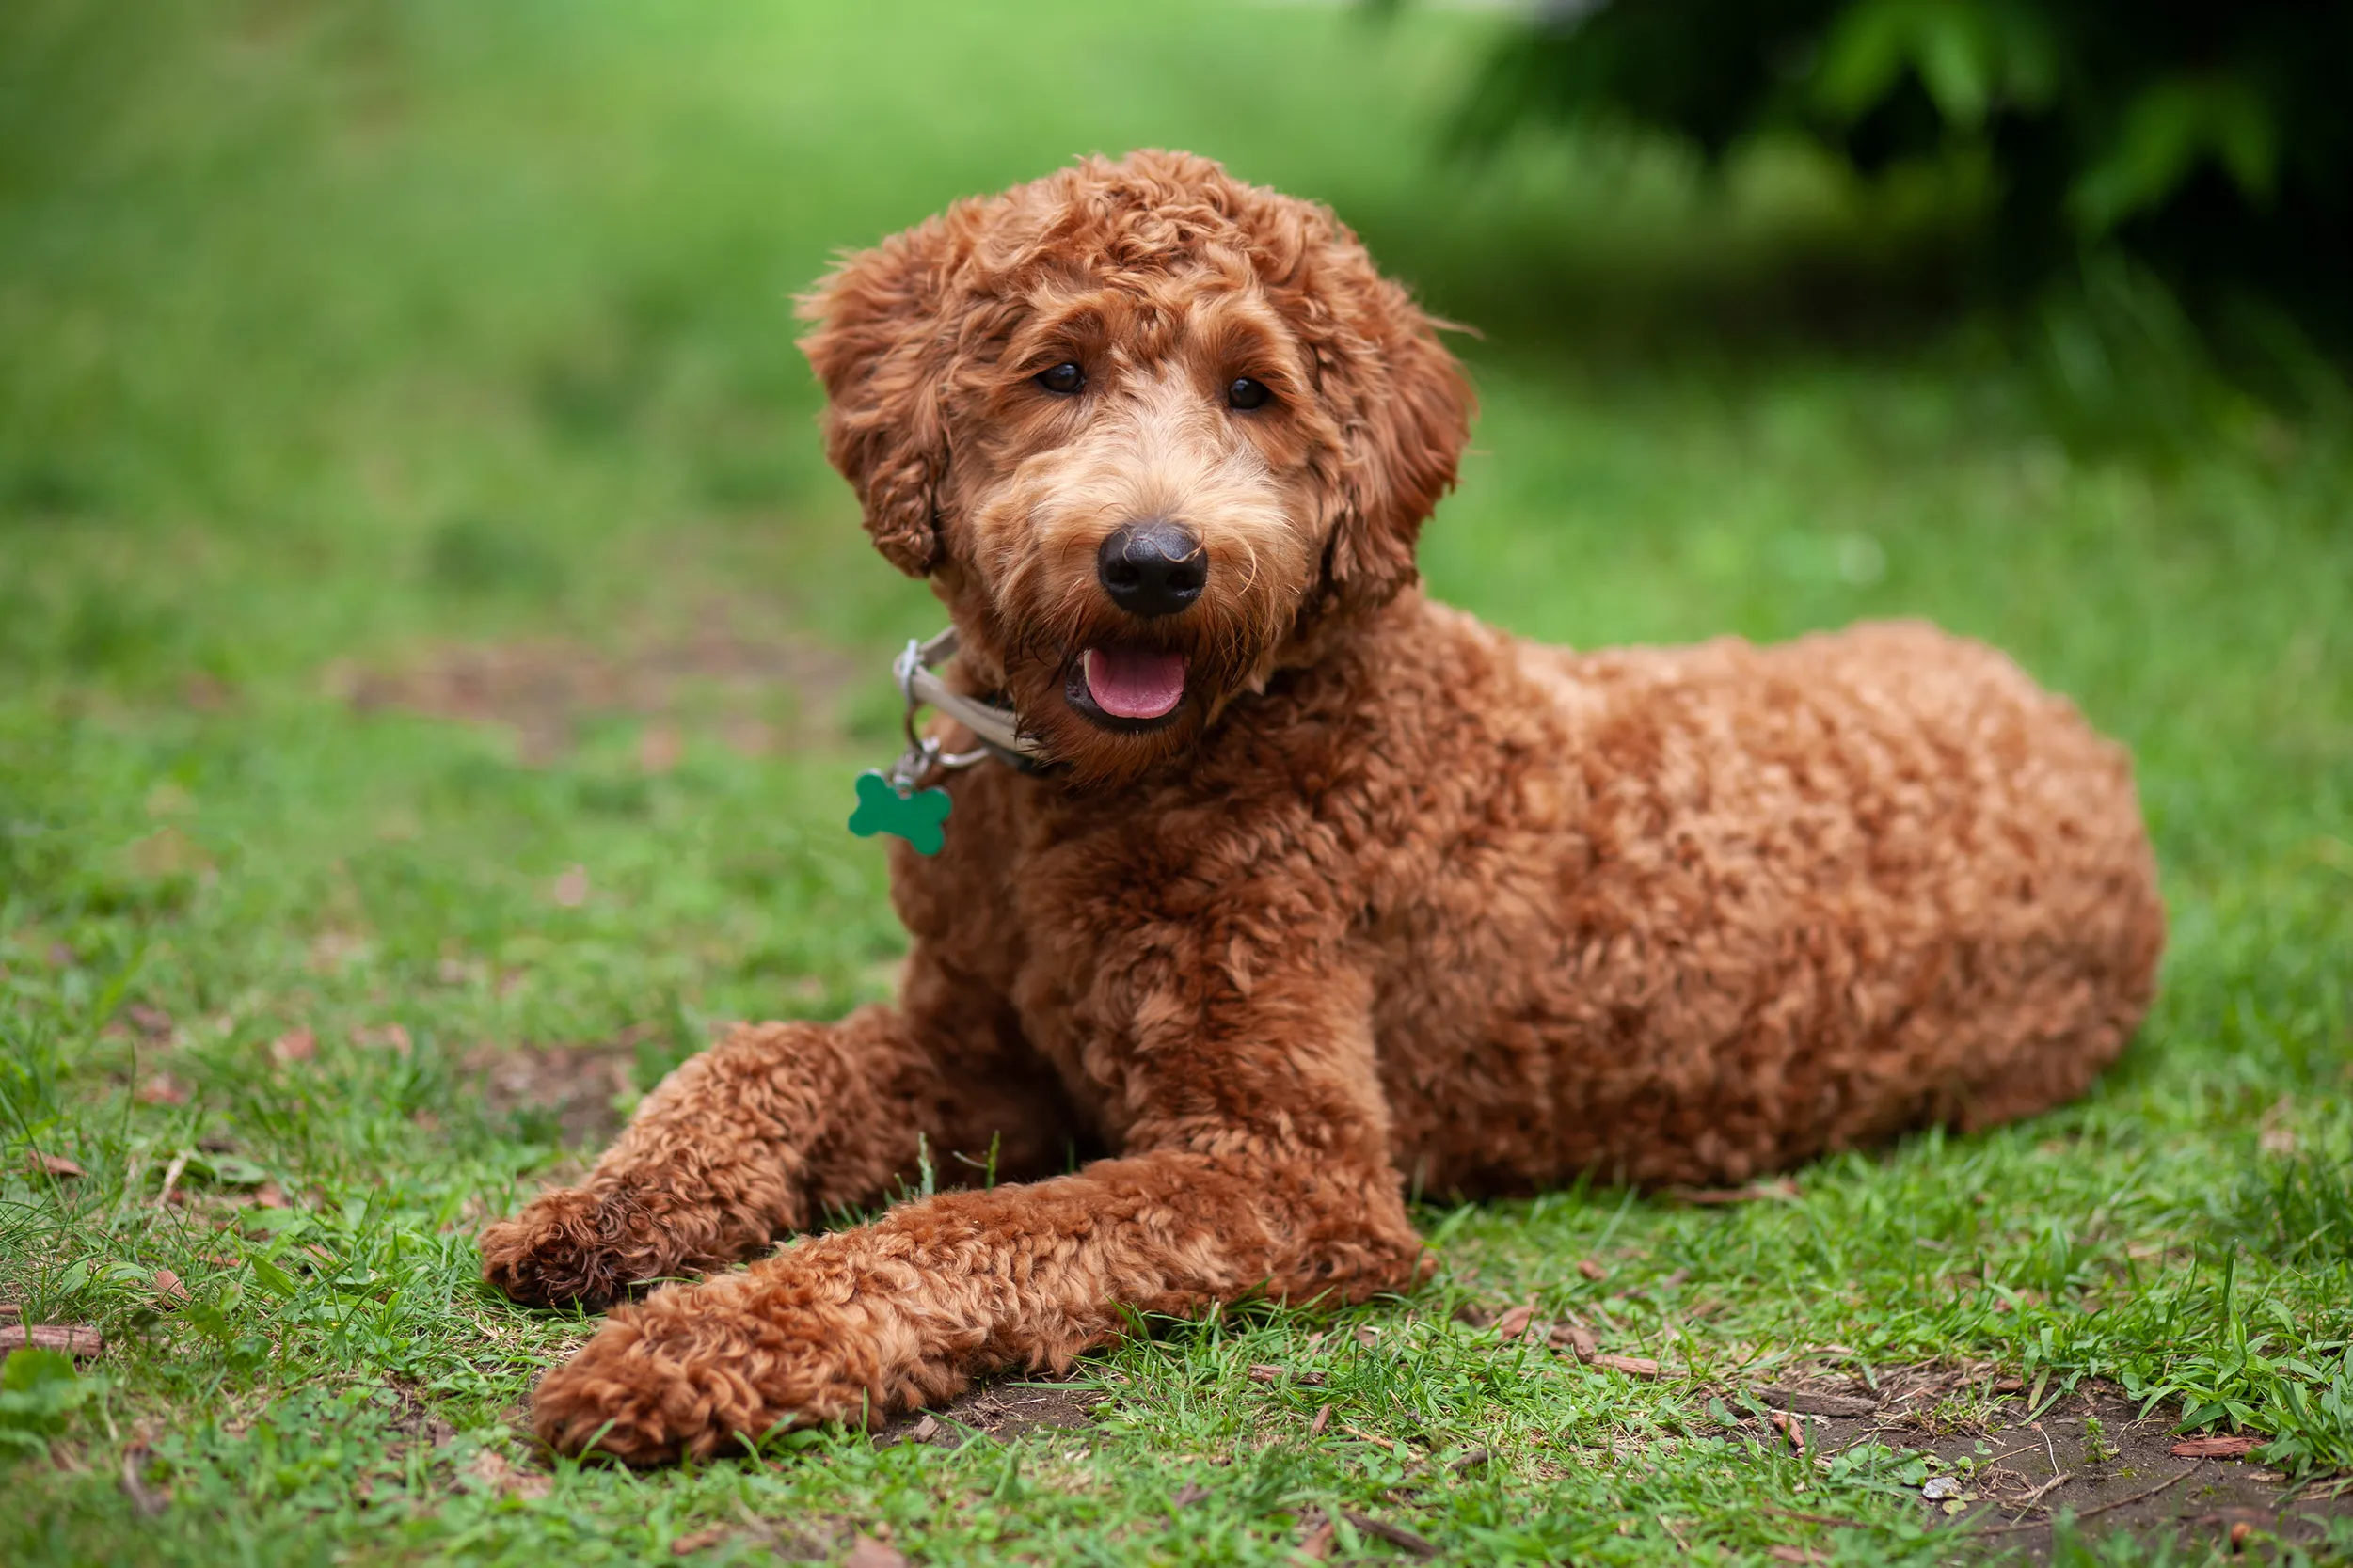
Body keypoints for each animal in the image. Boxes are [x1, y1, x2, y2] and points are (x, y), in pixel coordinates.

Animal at [477, 152, 2164, 1466]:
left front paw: (691, 1346)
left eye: (1254, 390)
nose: (1156, 562)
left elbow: (974, 1228)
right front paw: (608, 1209)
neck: (1130, 779)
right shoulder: (981, 1045)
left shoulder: (1285, 1165)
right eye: (1059, 369)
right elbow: (760, 1056)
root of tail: (2069, 721)